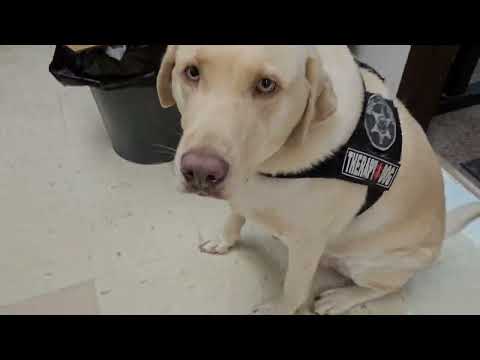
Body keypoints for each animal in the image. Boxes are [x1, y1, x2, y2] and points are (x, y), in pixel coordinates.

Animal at [158, 45, 480, 316]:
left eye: (266, 84)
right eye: (192, 72)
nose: (201, 172)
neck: (270, 162)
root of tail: (441, 236)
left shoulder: (306, 242)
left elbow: (293, 290)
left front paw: (278, 310)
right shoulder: (244, 194)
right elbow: (233, 218)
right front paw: (224, 242)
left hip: (372, 265)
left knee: (387, 287)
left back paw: (342, 297)